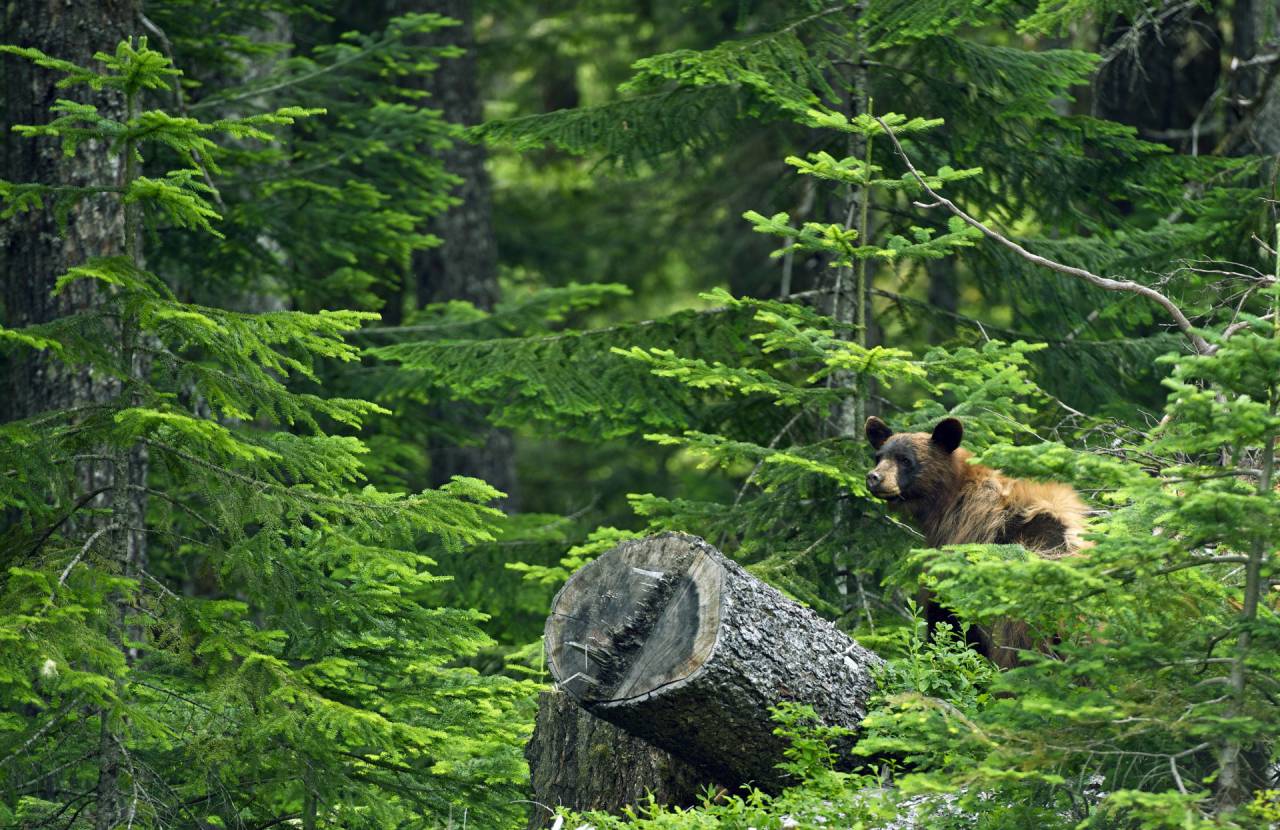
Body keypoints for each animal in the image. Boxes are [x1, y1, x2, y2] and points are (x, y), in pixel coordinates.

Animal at [865, 415, 1085, 666]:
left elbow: (948, 614)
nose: (874, 478)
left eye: (905, 460)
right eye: (879, 456)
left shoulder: (960, 543)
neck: (948, 498)